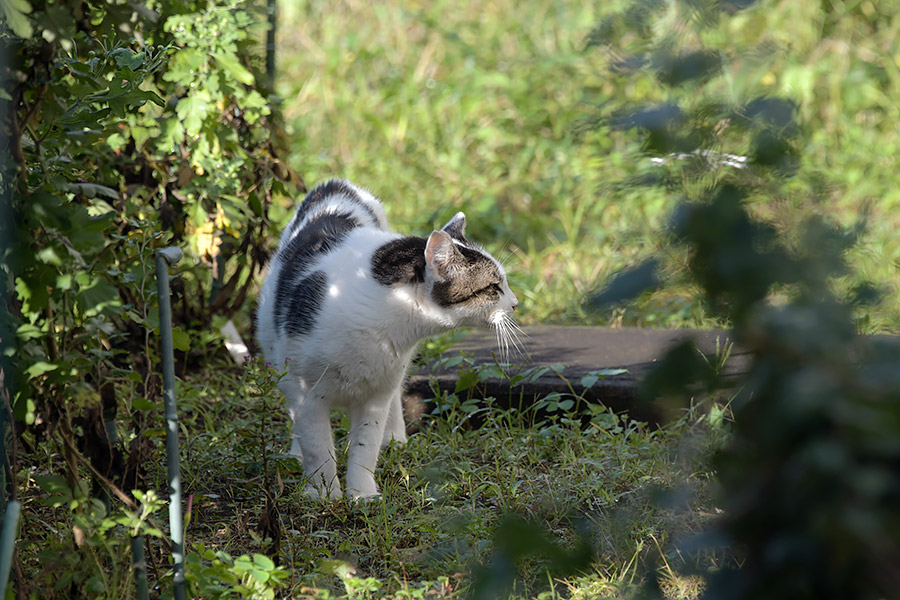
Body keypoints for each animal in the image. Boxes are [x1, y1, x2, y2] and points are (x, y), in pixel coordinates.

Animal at [253, 180, 520, 500]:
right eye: (494, 287)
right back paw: (296, 453)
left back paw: (394, 440)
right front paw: (324, 495)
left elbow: (365, 448)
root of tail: (335, 184)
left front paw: (362, 495)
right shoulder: (305, 391)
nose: (516, 303)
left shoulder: (376, 394)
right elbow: (317, 448)